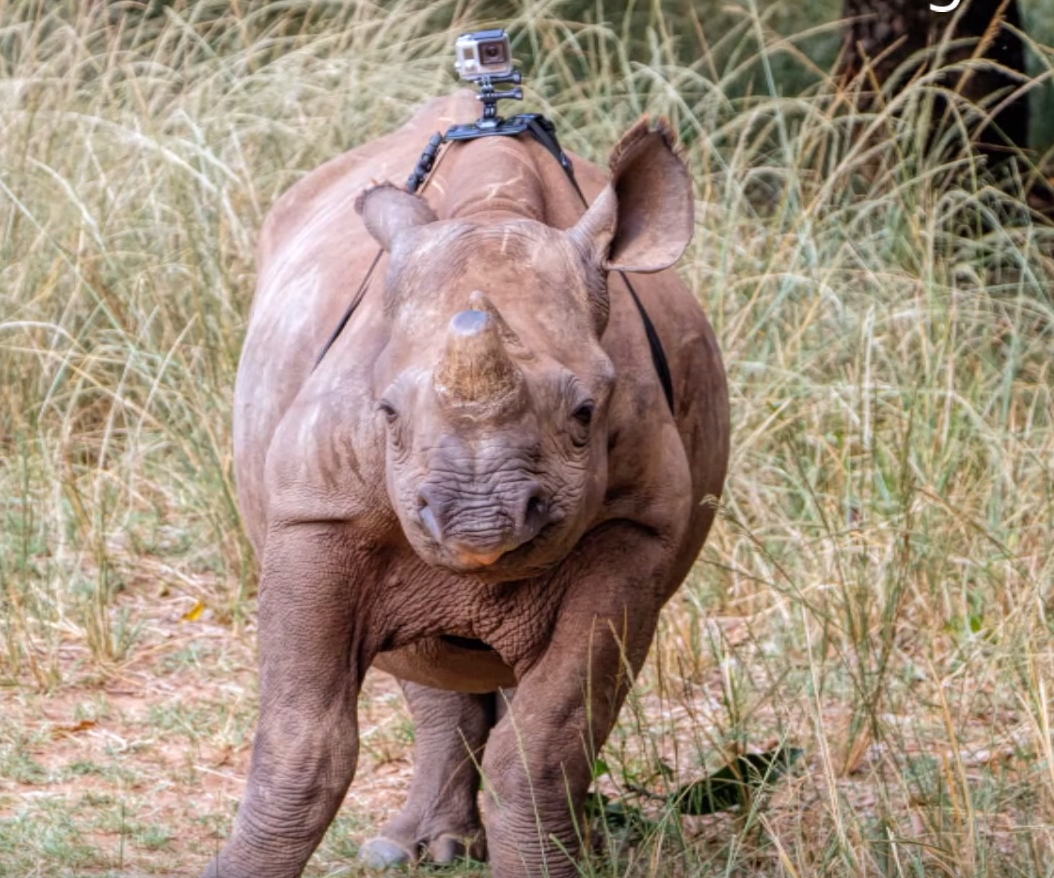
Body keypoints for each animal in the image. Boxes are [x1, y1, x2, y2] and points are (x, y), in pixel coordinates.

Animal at [202, 90, 729, 878]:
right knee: (428, 661)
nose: (479, 522)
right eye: (385, 411)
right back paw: (413, 850)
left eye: (586, 412)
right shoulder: (316, 516)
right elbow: (302, 741)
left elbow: (547, 742)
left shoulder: (633, 529)